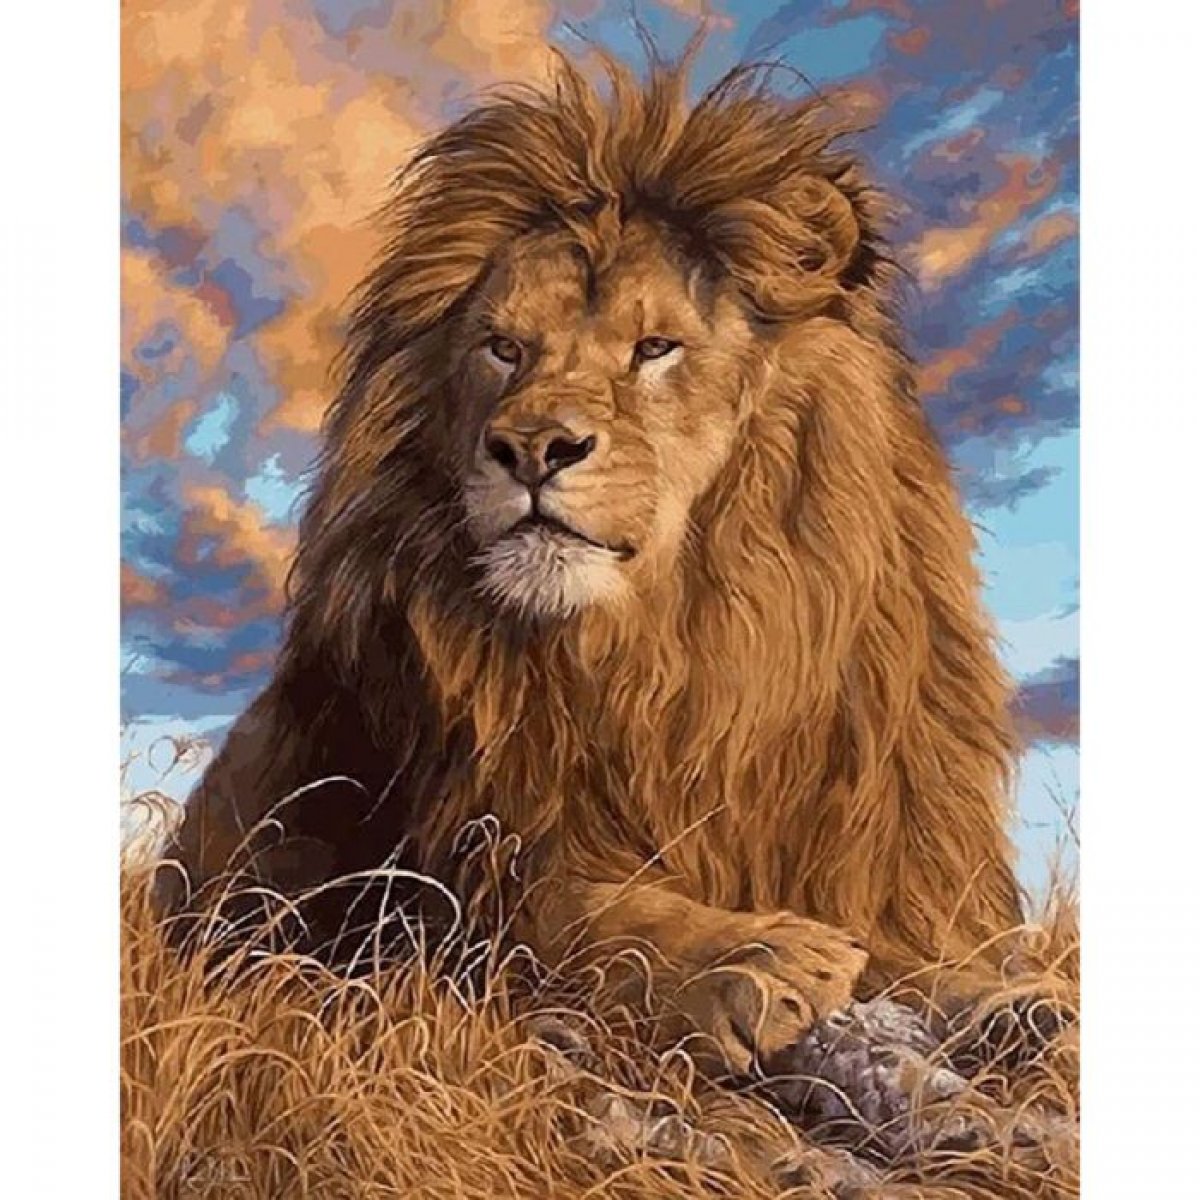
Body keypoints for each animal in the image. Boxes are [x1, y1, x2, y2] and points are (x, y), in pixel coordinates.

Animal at [159, 54, 1030, 1076]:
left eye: (654, 348)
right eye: (503, 347)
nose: (533, 446)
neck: (669, 651)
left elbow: (928, 950)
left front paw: (1012, 998)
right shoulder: (452, 873)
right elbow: (592, 915)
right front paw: (752, 957)